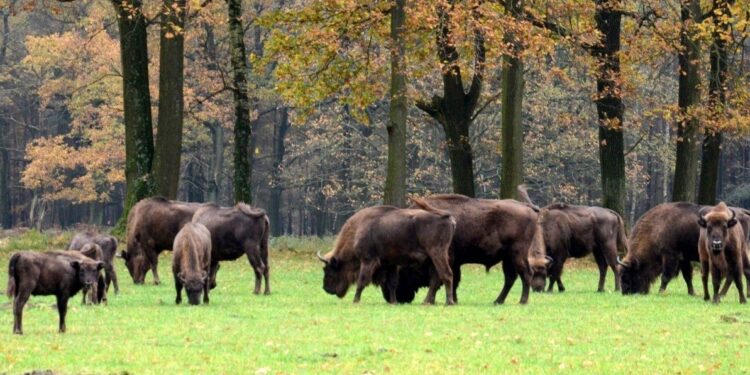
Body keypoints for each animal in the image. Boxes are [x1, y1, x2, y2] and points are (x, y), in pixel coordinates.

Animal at [318, 200, 458, 306]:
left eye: (328, 270)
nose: (326, 289)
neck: (359, 229)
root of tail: (446, 216)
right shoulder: (390, 264)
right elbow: (392, 283)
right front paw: (394, 302)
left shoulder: (368, 260)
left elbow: (361, 281)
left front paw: (355, 301)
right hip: (431, 259)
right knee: (435, 280)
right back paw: (426, 302)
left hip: (437, 253)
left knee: (446, 274)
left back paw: (449, 302)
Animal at [382, 195, 540, 306]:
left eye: (402, 274)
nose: (388, 297)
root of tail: (527, 206)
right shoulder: (454, 262)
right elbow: (452, 280)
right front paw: (453, 300)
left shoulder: (444, 258)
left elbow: (437, 279)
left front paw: (429, 301)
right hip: (507, 258)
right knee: (510, 278)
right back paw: (498, 301)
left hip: (518, 254)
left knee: (526, 273)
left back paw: (522, 301)